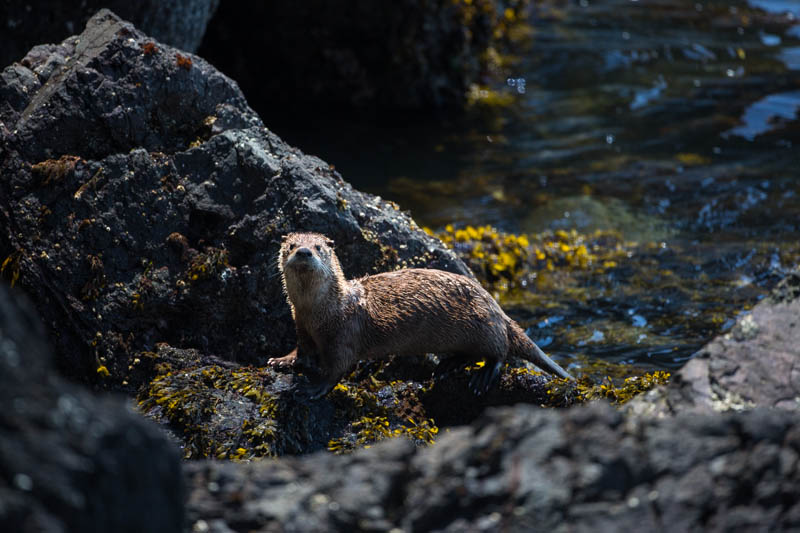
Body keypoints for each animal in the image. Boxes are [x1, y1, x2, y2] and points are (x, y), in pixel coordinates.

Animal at [270, 231, 576, 396]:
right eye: (290, 246)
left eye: (319, 247)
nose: (304, 251)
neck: (323, 313)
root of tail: (498, 309)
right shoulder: (300, 326)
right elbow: (302, 350)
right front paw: (282, 360)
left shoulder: (344, 335)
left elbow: (338, 367)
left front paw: (315, 387)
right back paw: (446, 366)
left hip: (485, 326)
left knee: (499, 352)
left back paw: (483, 375)